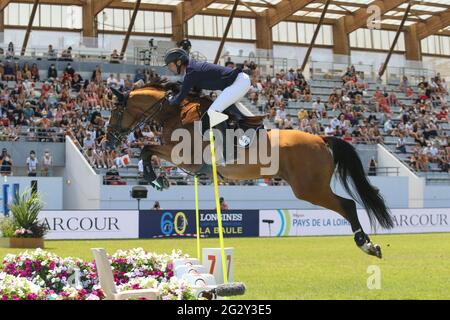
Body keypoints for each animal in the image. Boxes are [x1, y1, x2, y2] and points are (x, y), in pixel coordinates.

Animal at [106, 81, 394, 258]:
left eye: (116, 110)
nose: (108, 141)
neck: (175, 113)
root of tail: (322, 139)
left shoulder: (185, 157)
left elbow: (147, 148)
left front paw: (155, 179)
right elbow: (147, 149)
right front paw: (156, 179)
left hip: (310, 189)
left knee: (347, 205)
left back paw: (367, 245)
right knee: (347, 205)